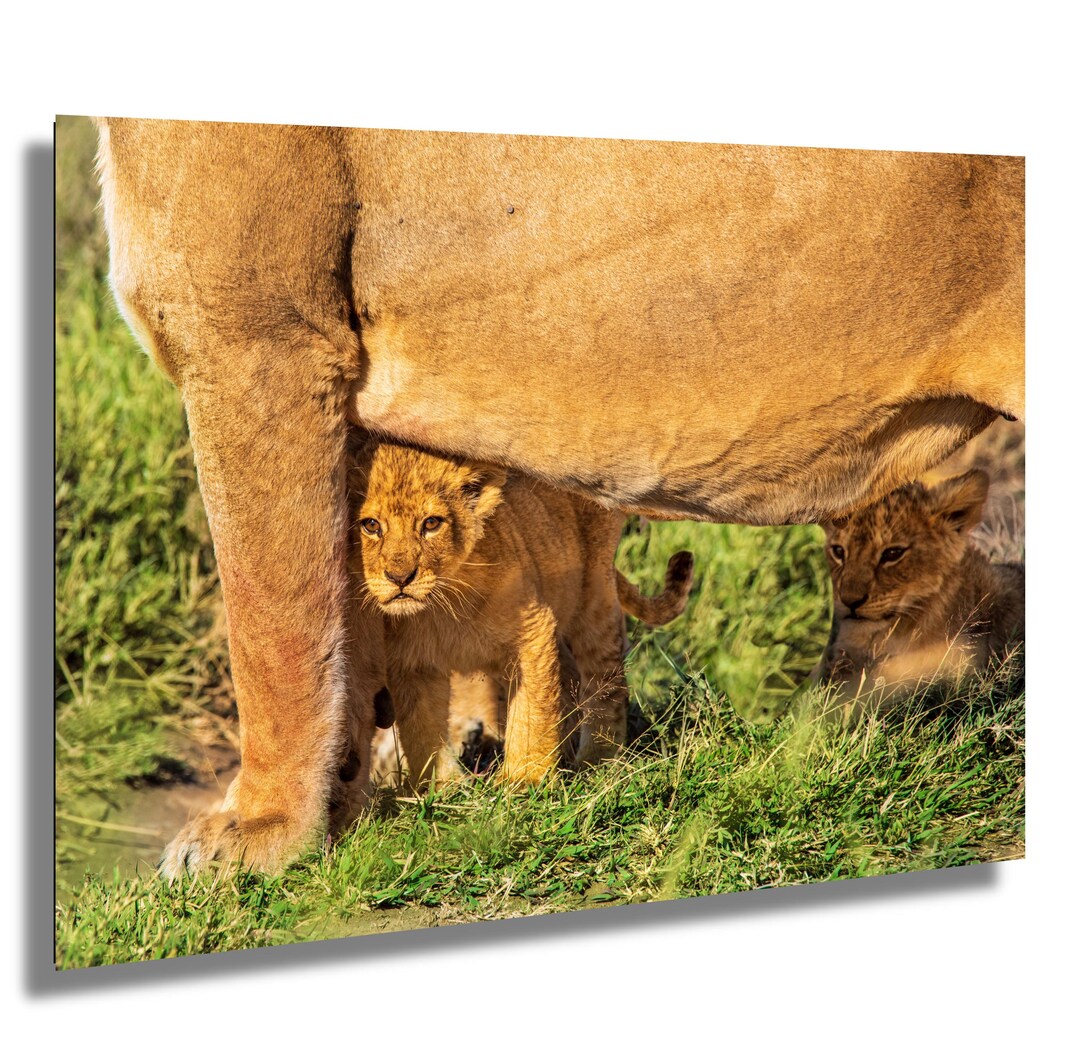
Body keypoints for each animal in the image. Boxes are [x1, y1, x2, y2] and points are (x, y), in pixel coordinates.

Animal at [352, 440, 694, 785]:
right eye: (371, 525)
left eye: (431, 524)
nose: (399, 578)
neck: (441, 603)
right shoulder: (413, 664)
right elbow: (423, 731)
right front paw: (445, 787)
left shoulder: (533, 631)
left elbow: (532, 712)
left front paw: (523, 780)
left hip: (594, 595)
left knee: (606, 680)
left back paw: (596, 762)